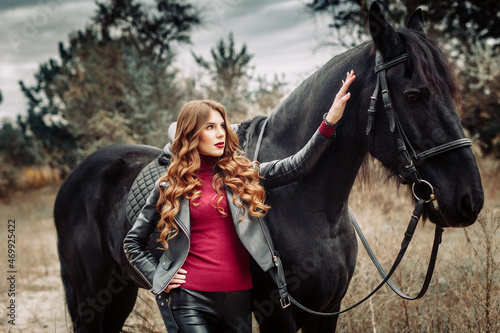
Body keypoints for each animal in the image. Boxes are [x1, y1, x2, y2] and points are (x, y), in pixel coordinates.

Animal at [54, 3, 484, 332]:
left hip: (119, 293)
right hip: (93, 298)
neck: (306, 205)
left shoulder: (326, 312)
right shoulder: (275, 313)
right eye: (414, 96)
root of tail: (75, 177)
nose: (470, 199)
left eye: (452, 92)